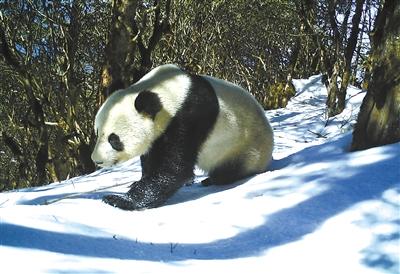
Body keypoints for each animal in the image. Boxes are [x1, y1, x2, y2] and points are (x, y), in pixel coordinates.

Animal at [92, 63, 274, 210]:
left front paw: (119, 200)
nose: (97, 160)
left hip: (244, 148)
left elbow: (175, 168)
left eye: (114, 139)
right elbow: (153, 156)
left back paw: (213, 179)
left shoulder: (188, 118)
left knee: (231, 169)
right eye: (97, 132)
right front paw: (137, 182)